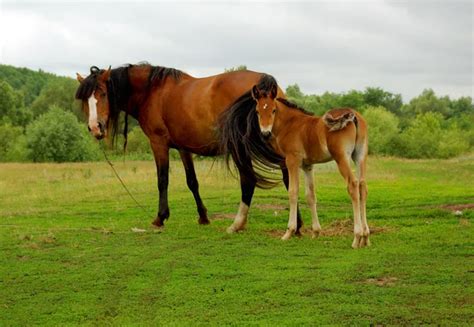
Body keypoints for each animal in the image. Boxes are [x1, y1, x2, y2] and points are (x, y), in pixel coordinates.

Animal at [75, 64, 302, 233]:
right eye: (86, 99)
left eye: (103, 93)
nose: (95, 127)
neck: (152, 91)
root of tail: (265, 84)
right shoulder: (184, 147)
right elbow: (192, 181)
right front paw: (203, 216)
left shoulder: (158, 143)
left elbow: (162, 180)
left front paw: (160, 217)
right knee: (287, 176)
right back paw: (296, 224)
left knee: (249, 180)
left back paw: (238, 223)